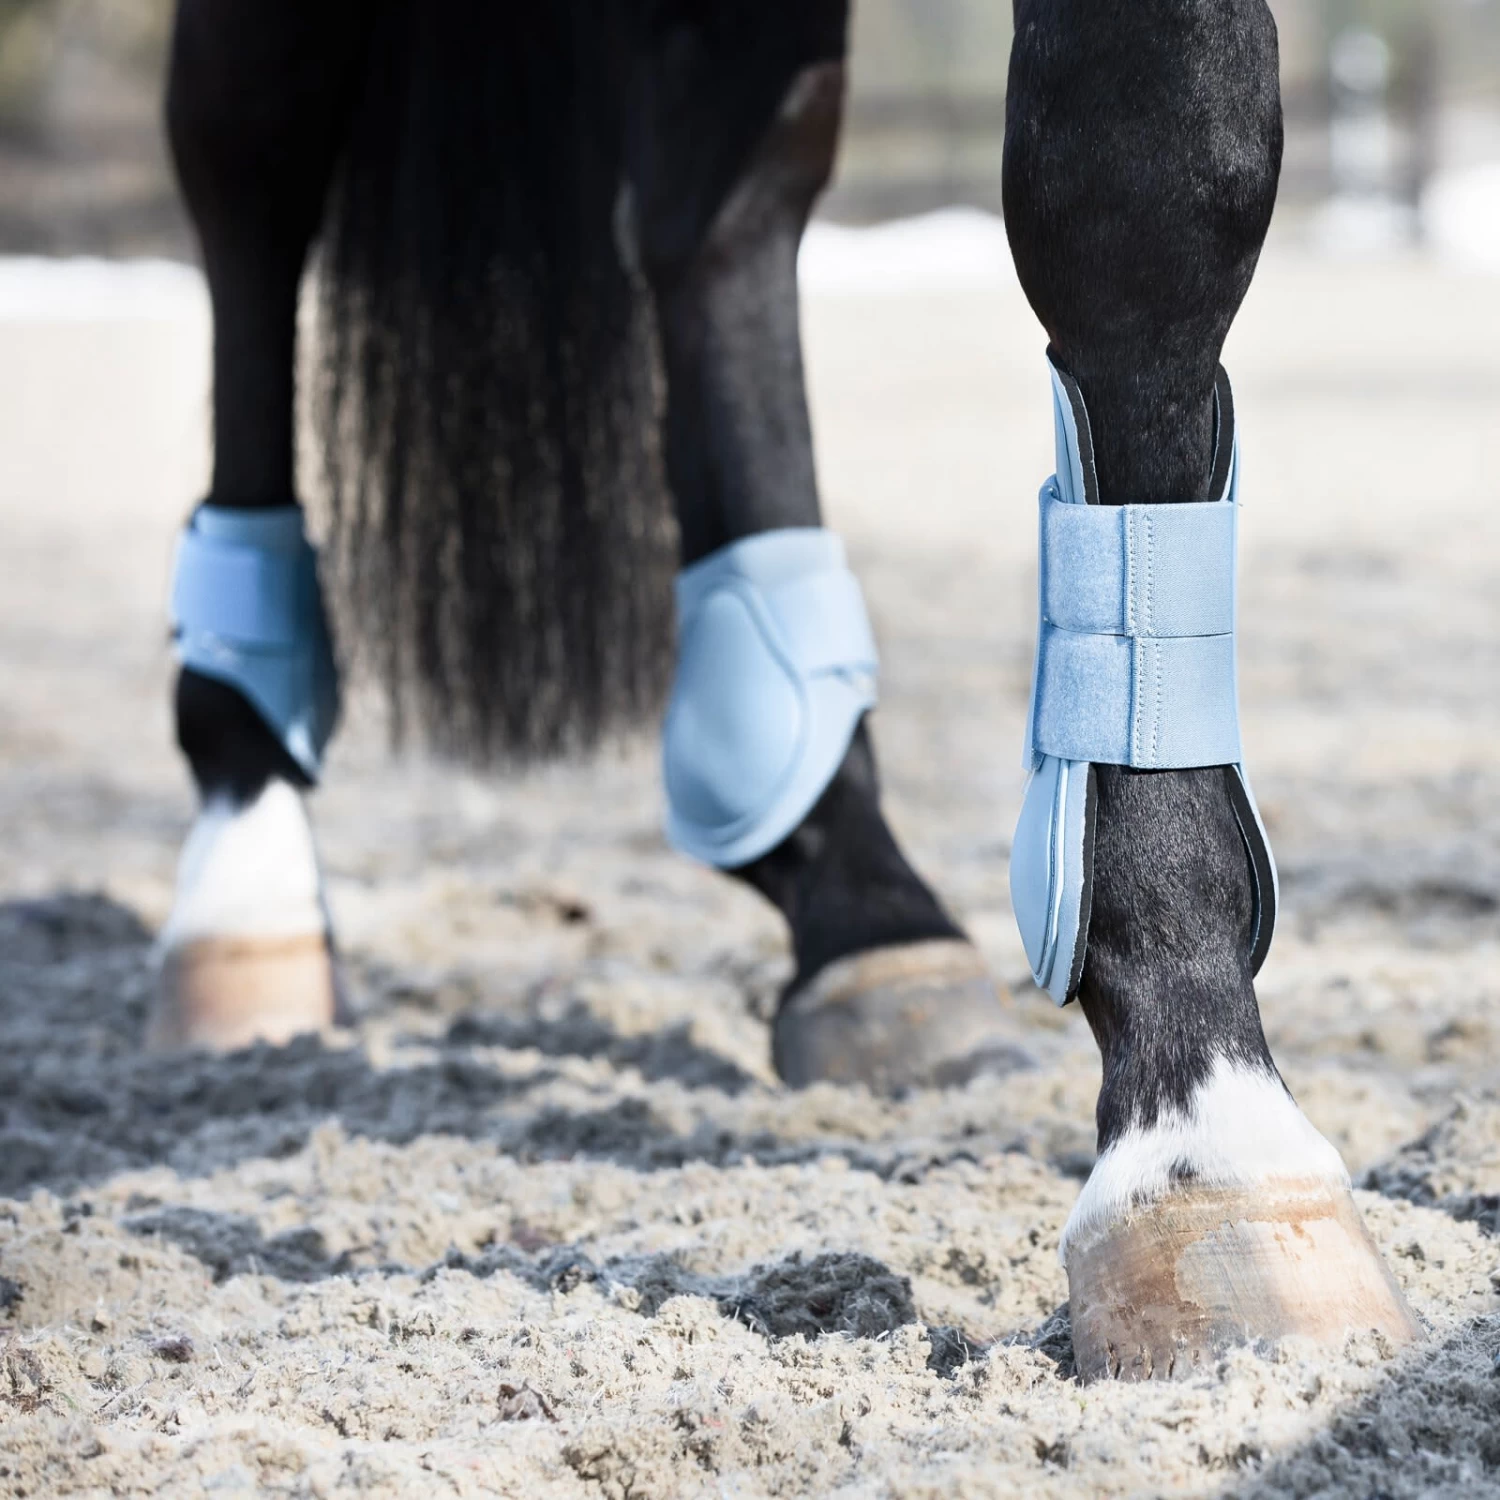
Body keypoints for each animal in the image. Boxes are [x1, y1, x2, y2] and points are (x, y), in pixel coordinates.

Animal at [157, 0, 1420, 1379]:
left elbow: (1183, 182)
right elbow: (1138, 189)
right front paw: (1205, 1141)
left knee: (718, 210)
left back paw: (859, 905)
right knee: (248, 141)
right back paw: (244, 869)